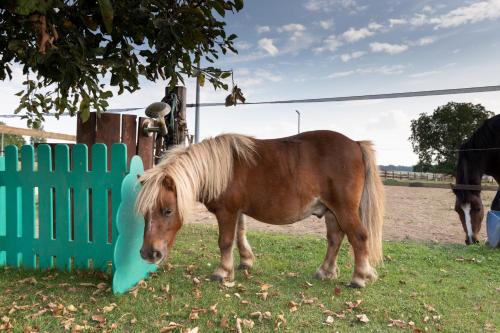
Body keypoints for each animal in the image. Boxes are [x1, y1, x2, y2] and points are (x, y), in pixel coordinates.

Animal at [135, 131, 384, 286]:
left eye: (167, 211)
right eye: (145, 213)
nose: (149, 253)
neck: (221, 169)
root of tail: (355, 143)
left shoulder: (227, 212)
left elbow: (225, 241)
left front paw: (222, 272)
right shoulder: (238, 211)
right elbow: (239, 235)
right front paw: (245, 261)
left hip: (343, 209)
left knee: (359, 237)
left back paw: (359, 278)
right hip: (331, 211)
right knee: (335, 238)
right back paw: (326, 271)